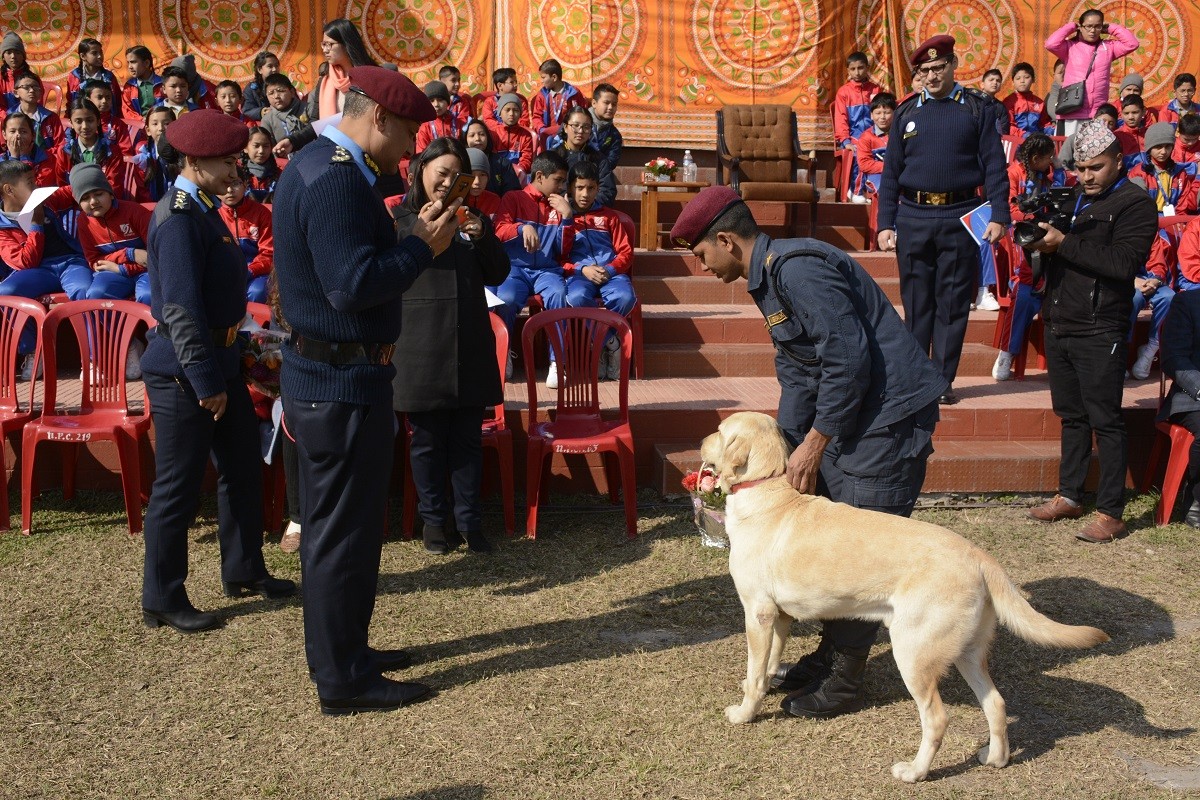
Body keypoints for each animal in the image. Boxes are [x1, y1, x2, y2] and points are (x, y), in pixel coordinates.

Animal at [700, 412, 1104, 782]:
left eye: (719, 432)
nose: (700, 443)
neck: (767, 491)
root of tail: (979, 556)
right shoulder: (780, 616)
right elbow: (767, 664)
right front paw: (766, 686)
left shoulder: (758, 613)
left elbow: (755, 671)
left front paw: (744, 712)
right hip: (969, 654)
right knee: (997, 704)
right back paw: (995, 758)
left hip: (912, 653)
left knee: (937, 719)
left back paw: (915, 771)